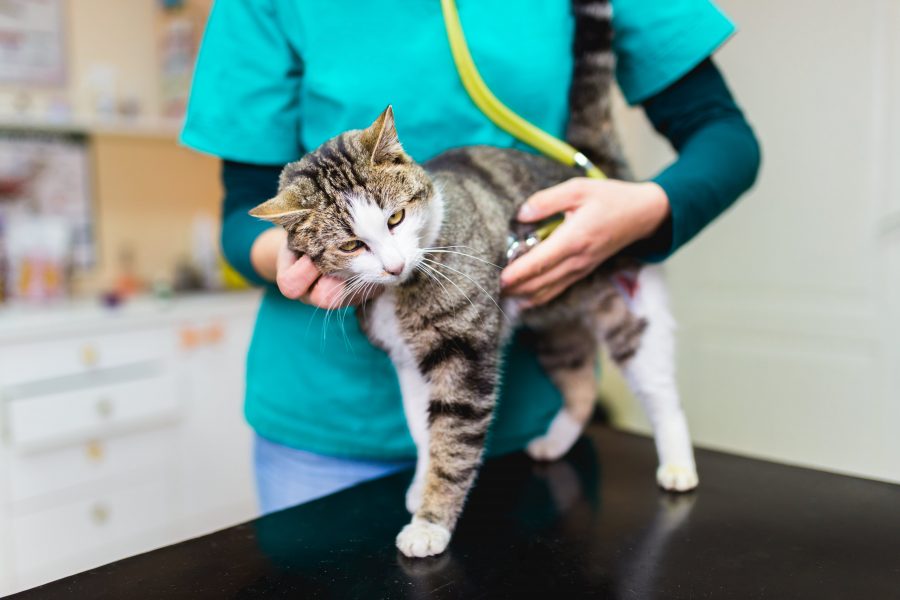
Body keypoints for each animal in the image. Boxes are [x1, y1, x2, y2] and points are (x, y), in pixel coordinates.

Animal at [250, 0, 700, 556]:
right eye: (352, 245)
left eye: (396, 218)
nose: (394, 265)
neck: (402, 291)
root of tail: (592, 169)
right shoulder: (409, 361)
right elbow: (424, 430)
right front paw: (419, 483)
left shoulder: (462, 353)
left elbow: (453, 440)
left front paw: (430, 522)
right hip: (554, 323)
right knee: (578, 383)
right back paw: (555, 440)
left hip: (634, 312)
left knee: (661, 393)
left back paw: (677, 464)